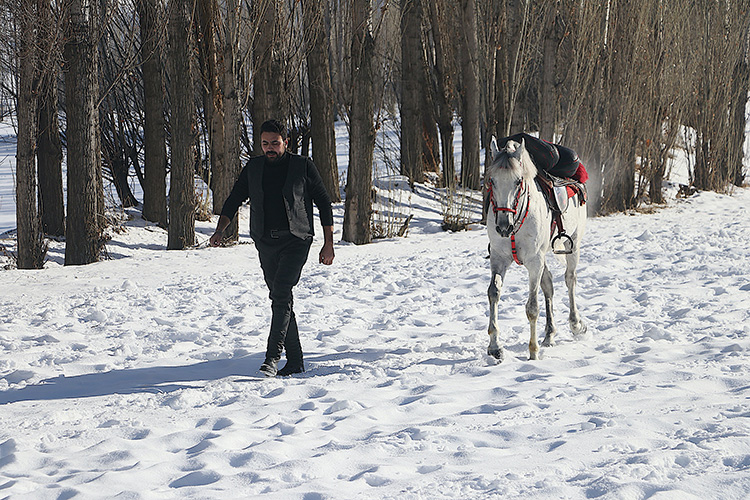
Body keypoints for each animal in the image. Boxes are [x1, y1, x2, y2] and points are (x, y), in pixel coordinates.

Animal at [484, 139, 592, 362]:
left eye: (518, 181)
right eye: (492, 181)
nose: (503, 226)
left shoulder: (534, 262)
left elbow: (532, 307)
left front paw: (533, 351)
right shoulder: (499, 259)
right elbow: (494, 293)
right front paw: (495, 347)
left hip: (573, 245)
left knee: (570, 280)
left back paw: (576, 324)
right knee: (548, 285)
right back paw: (549, 334)